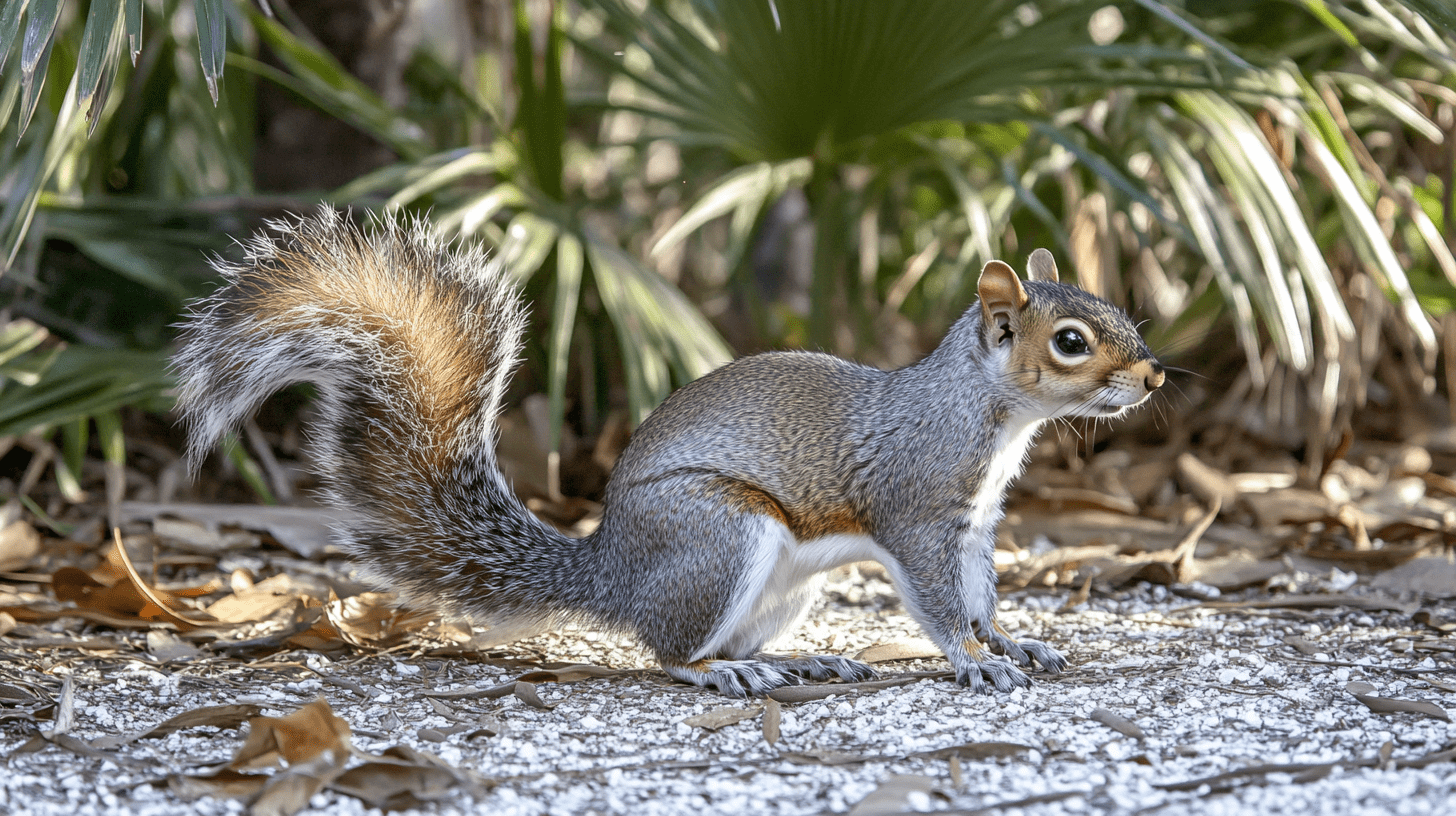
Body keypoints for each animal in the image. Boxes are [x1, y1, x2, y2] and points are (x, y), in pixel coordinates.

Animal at [176, 208, 1164, 693]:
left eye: (1115, 308)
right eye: (1072, 341)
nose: (1154, 375)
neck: (987, 414)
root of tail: (610, 570)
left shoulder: (977, 524)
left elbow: (982, 591)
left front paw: (1013, 639)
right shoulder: (918, 509)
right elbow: (937, 599)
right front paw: (971, 659)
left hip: (781, 584)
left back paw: (790, 662)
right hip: (720, 536)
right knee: (671, 653)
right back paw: (729, 673)